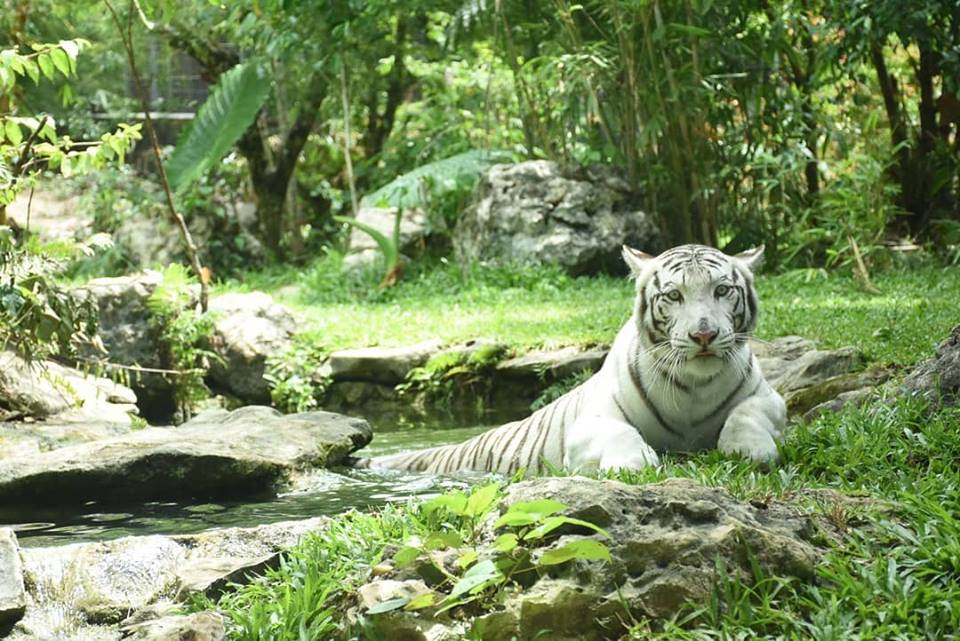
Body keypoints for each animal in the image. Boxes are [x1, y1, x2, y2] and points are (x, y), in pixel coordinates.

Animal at [360, 245, 788, 476]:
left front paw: (751, 450)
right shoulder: (588, 423)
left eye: (722, 291)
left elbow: (747, 414)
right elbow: (620, 433)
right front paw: (632, 463)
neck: (694, 387)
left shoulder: (771, 399)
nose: (703, 335)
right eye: (673, 295)